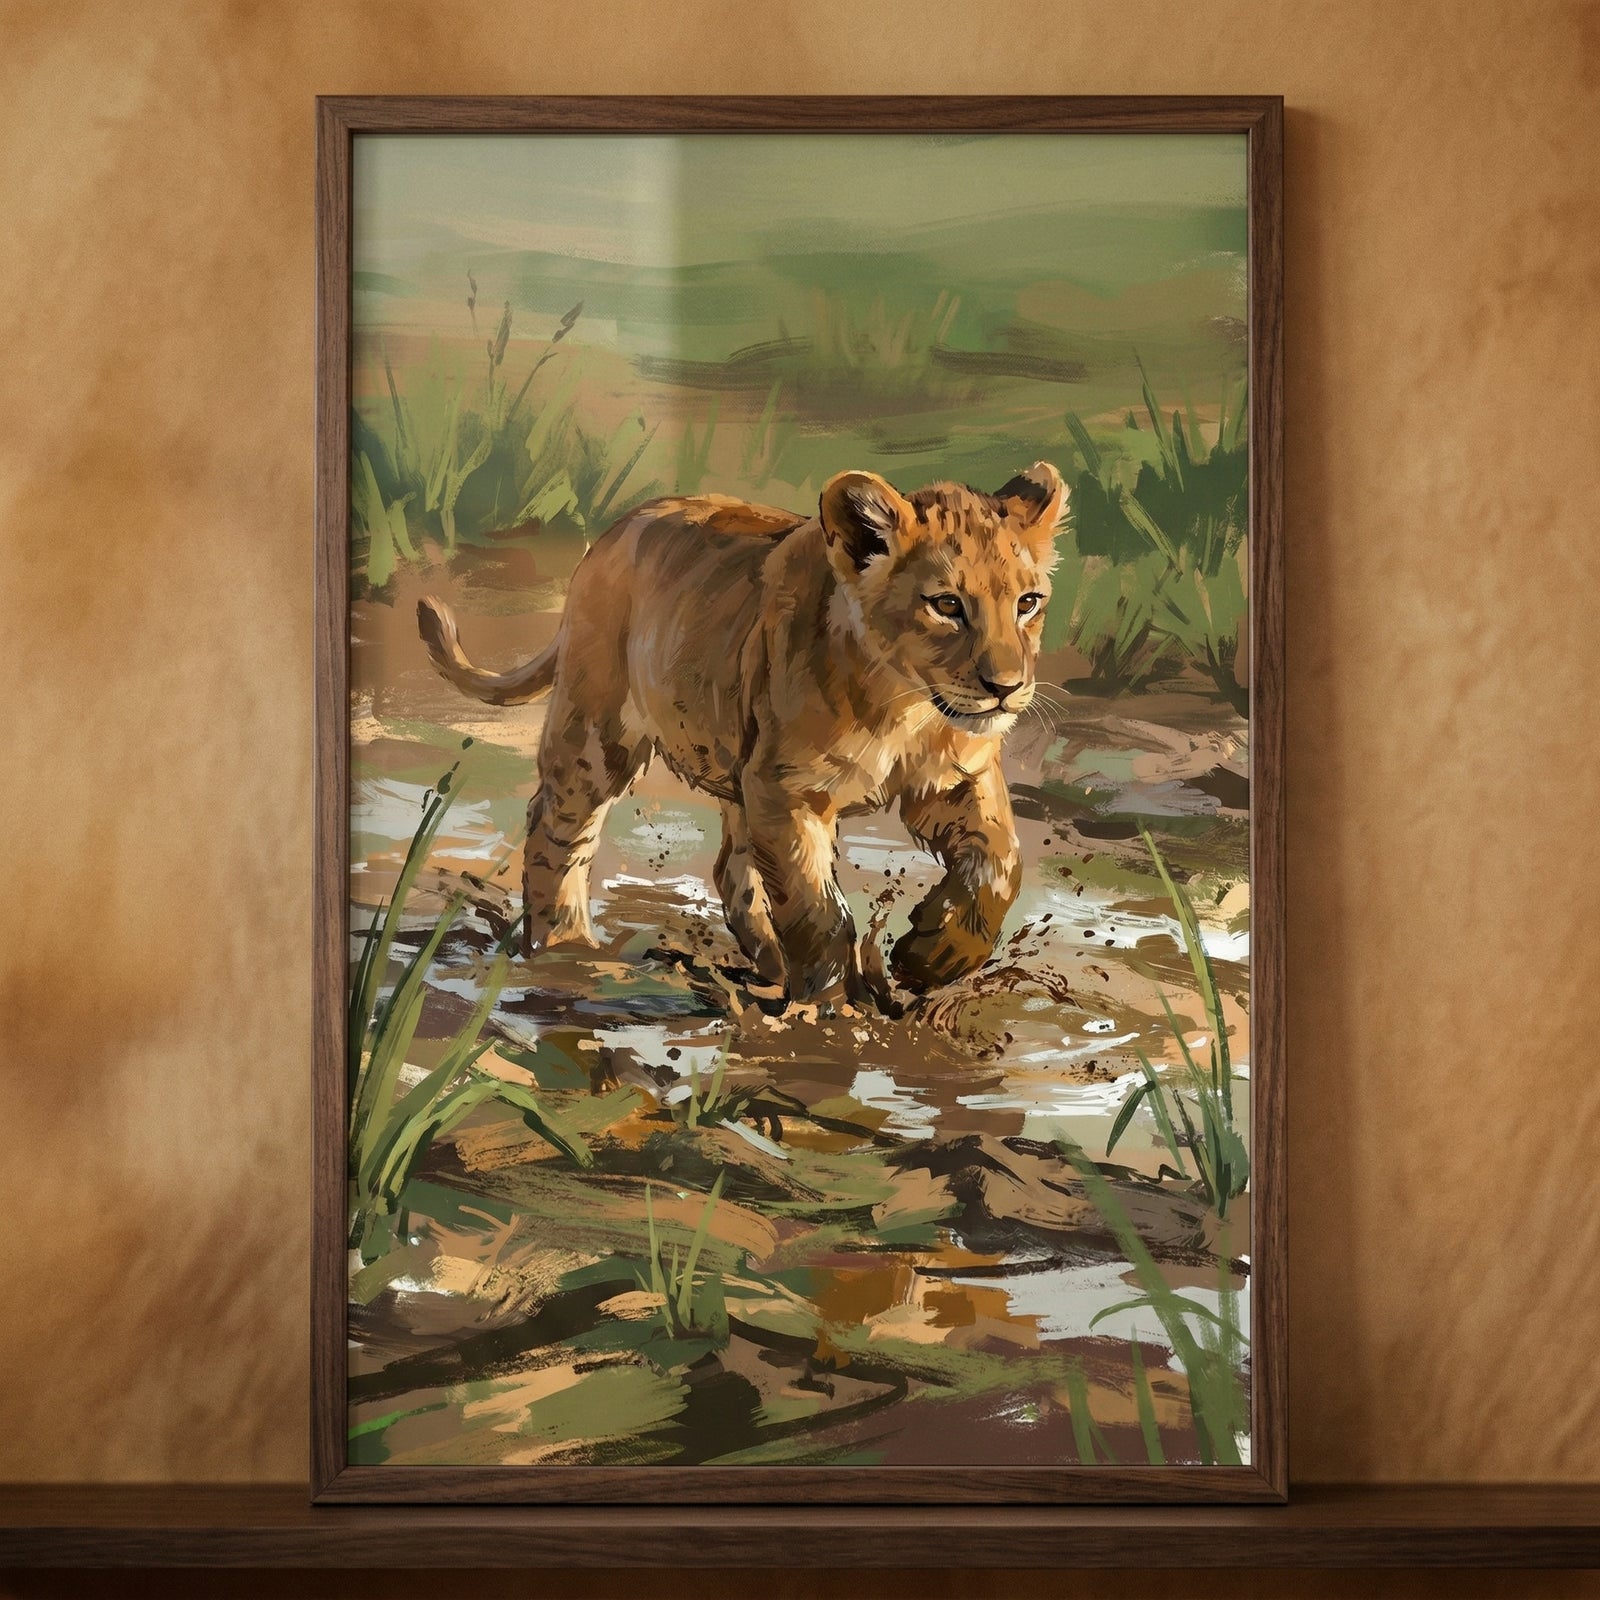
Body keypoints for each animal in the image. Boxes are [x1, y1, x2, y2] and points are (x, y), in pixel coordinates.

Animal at [417, 462, 1066, 1002]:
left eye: (1028, 603)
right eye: (948, 605)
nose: (1006, 686)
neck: (908, 708)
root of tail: (611, 534)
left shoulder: (954, 781)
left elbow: (1001, 863)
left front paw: (932, 957)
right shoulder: (787, 789)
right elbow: (816, 908)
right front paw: (837, 1007)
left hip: (736, 768)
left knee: (730, 869)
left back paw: (768, 966)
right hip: (598, 733)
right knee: (559, 827)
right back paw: (567, 950)